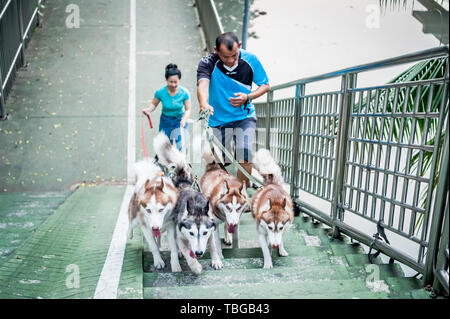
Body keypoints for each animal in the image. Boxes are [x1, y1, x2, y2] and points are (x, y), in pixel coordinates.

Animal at [154, 131, 222, 276]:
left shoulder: (211, 232)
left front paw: (216, 260)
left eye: (204, 233)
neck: (196, 206)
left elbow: (213, 245)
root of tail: (182, 180)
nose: (199, 253)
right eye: (191, 233)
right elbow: (186, 252)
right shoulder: (180, 236)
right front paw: (195, 266)